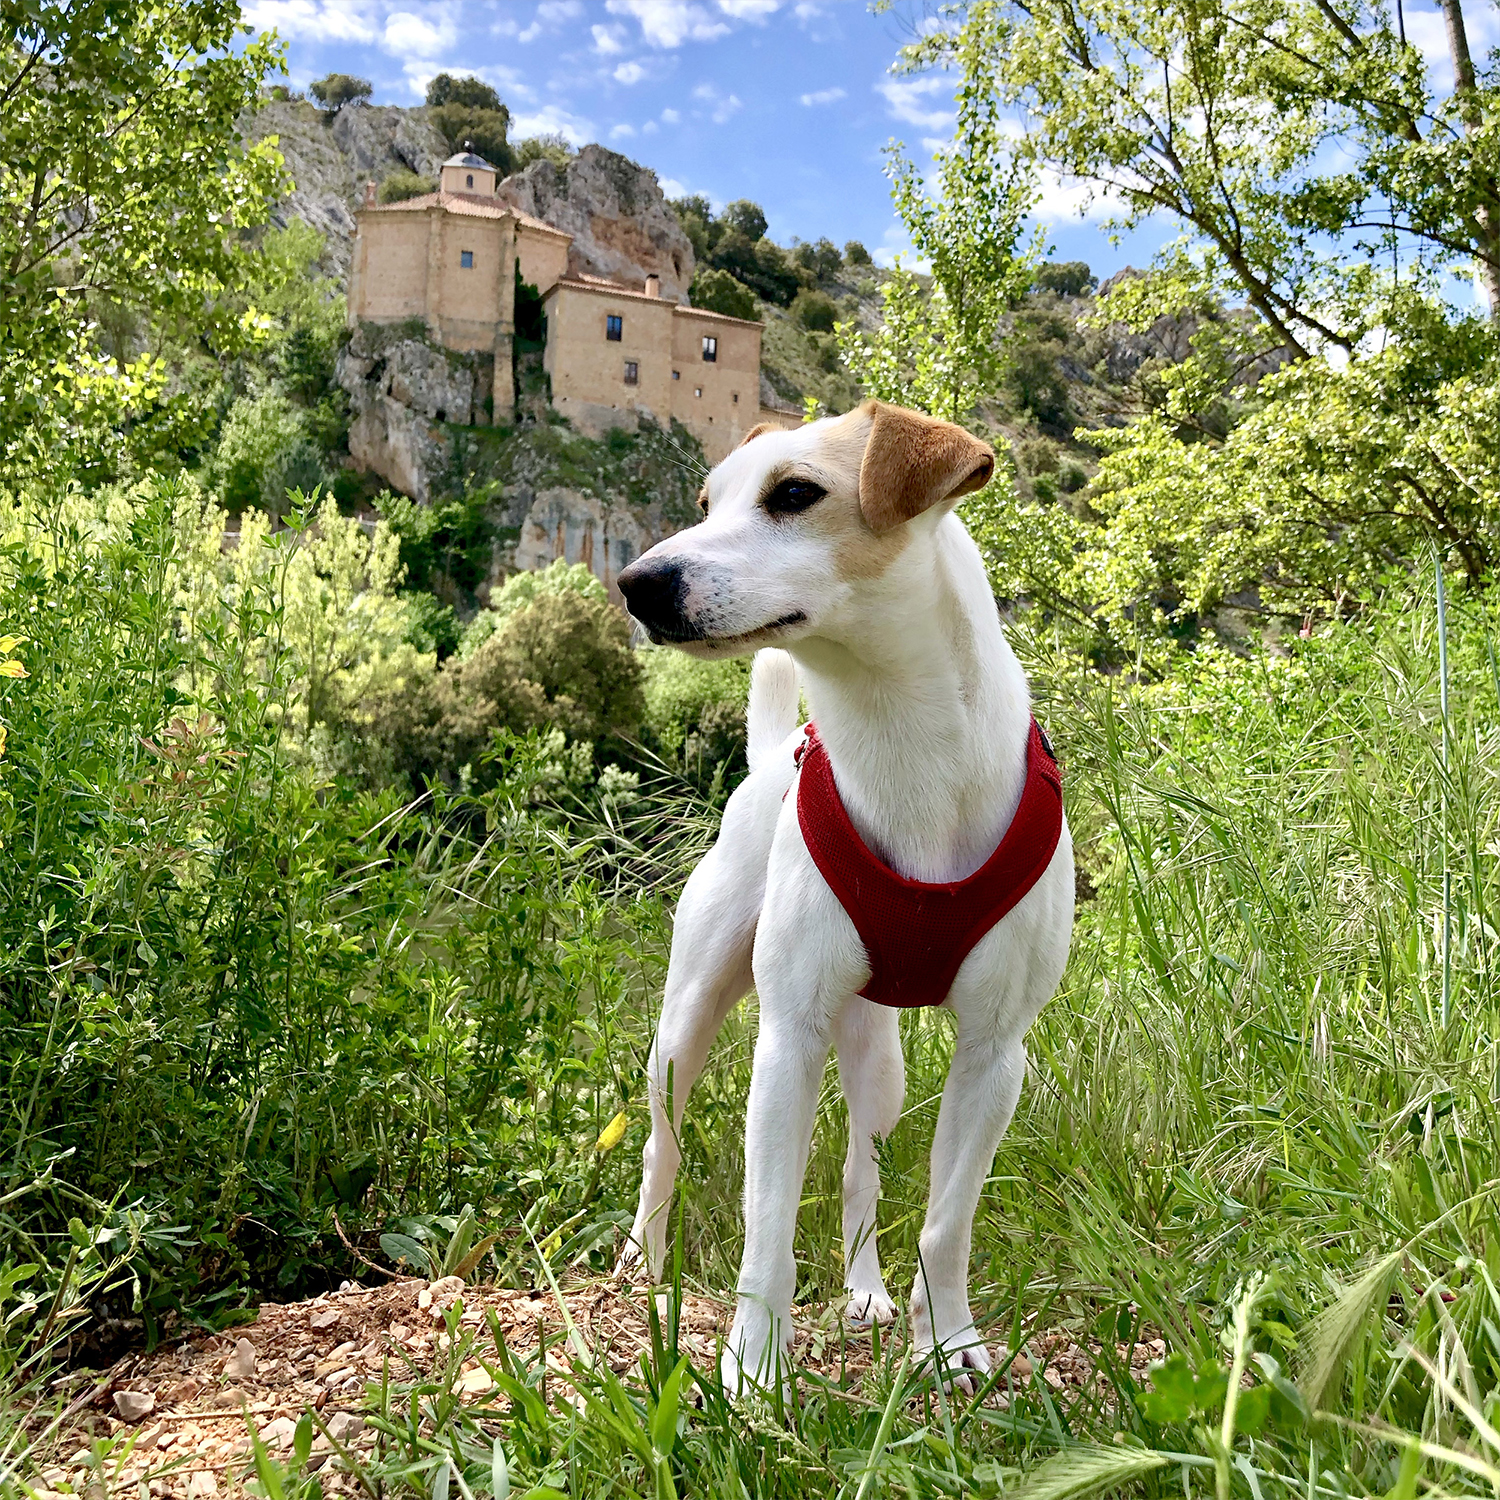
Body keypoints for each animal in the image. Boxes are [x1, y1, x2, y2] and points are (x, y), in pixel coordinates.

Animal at [615, 399, 1074, 1392]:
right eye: (705, 502)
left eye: (795, 495)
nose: (636, 583)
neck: (899, 741)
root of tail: (762, 766)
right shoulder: (787, 1039)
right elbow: (768, 1232)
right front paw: (753, 1367)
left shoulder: (995, 1054)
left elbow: (945, 1224)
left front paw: (948, 1342)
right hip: (686, 1023)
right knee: (662, 1144)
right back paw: (643, 1260)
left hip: (880, 1061)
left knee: (863, 1177)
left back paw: (864, 1293)